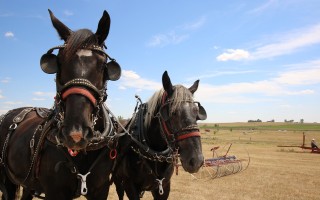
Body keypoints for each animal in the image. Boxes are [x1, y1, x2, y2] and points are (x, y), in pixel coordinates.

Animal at [0, 9, 127, 200]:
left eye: (102, 65)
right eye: (59, 62)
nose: (76, 133)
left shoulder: (100, 189)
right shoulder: (55, 192)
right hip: (7, 180)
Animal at [114, 71, 206, 199]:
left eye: (196, 113)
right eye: (172, 113)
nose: (196, 161)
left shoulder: (163, 186)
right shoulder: (129, 186)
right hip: (117, 180)